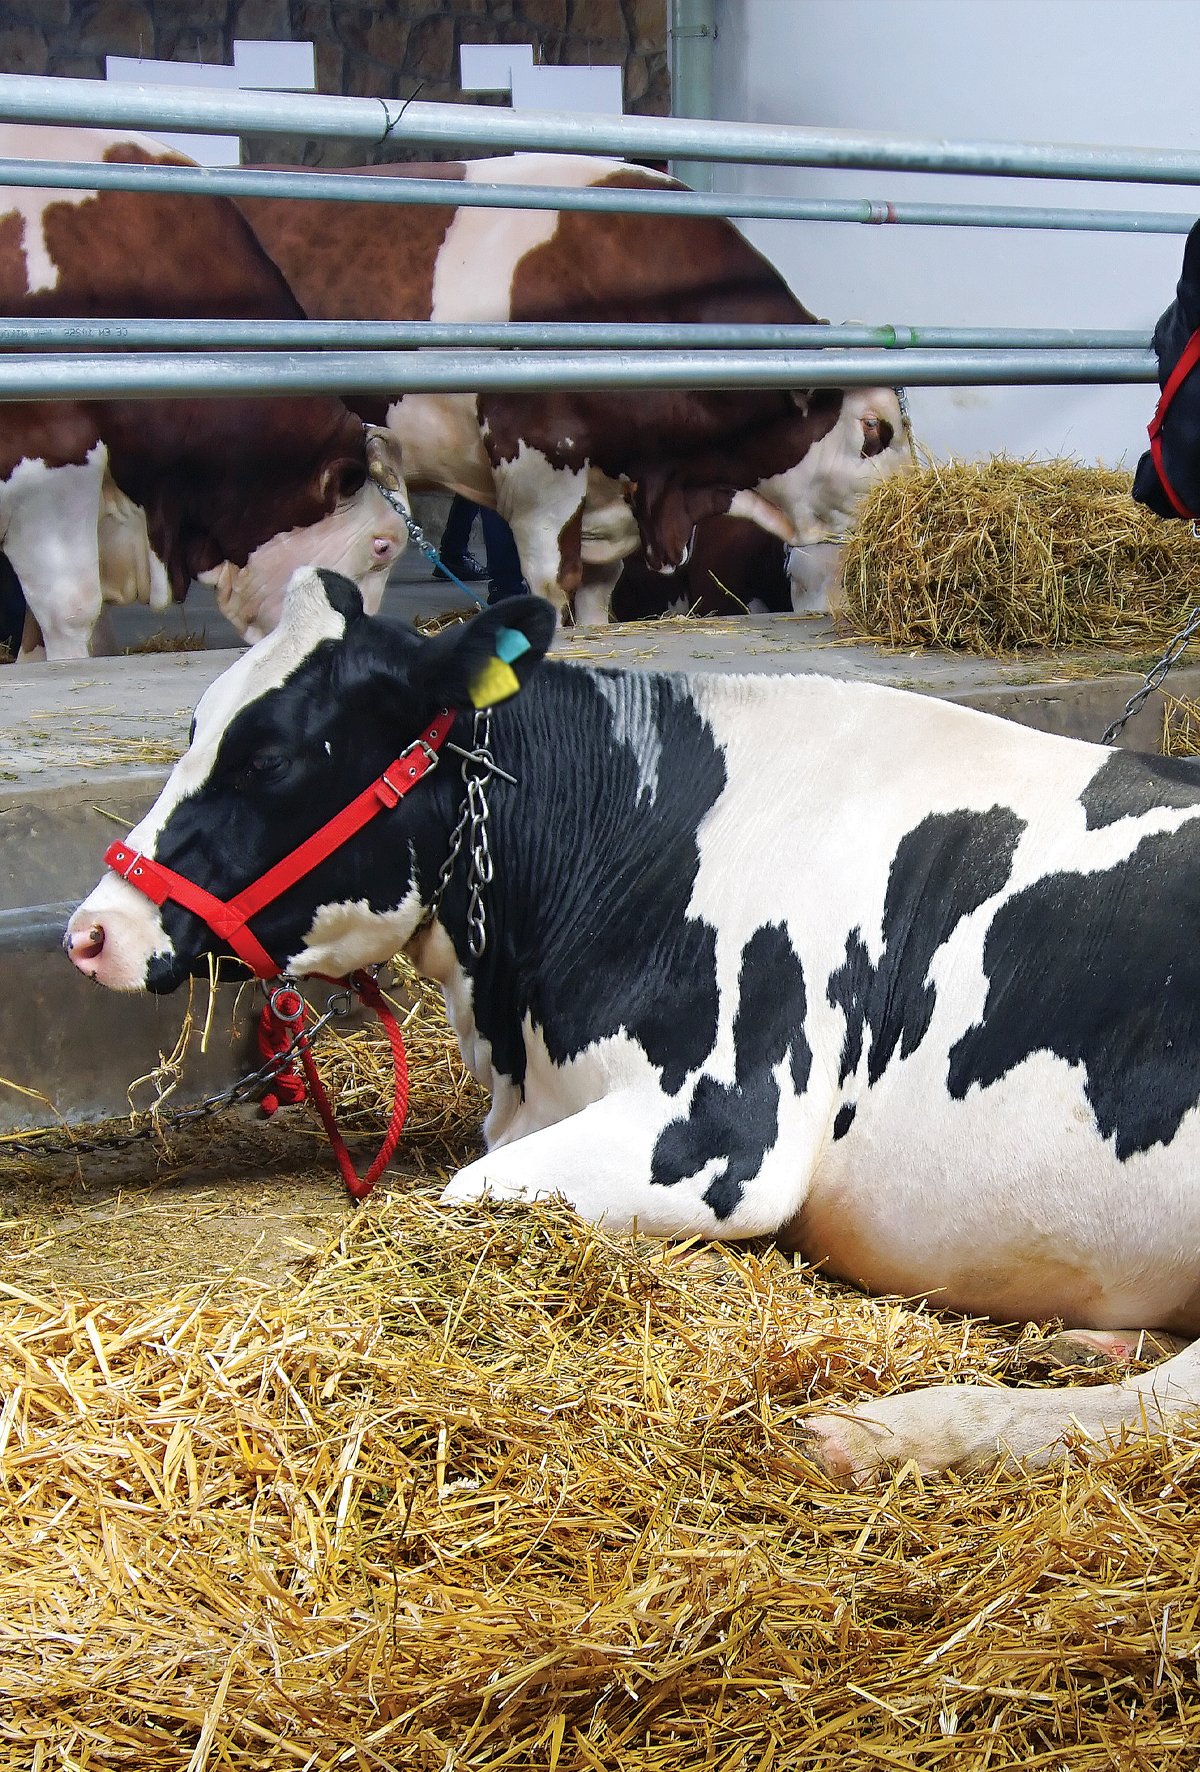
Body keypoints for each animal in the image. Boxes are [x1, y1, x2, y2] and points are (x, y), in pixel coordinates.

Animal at [65, 567, 1200, 1484]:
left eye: (271, 756)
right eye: (198, 727)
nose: (92, 931)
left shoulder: (722, 1133)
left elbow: (471, 1191)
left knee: (1168, 1404)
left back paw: (888, 1431)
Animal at [236, 155, 907, 623]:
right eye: (874, 429)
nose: (908, 509)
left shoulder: (614, 504)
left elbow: (594, 601)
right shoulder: (537, 468)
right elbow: (551, 585)